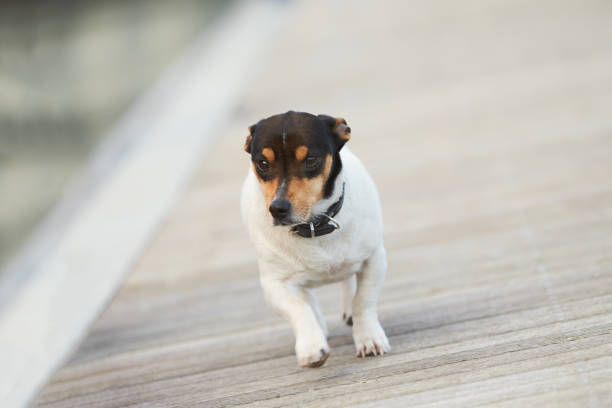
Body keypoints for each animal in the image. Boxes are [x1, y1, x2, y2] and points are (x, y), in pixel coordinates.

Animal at [241, 111, 390, 366]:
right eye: (262, 163)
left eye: (310, 159)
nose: (277, 208)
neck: (314, 226)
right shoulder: (275, 284)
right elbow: (299, 308)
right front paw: (311, 345)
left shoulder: (374, 259)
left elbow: (363, 300)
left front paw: (368, 338)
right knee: (307, 298)